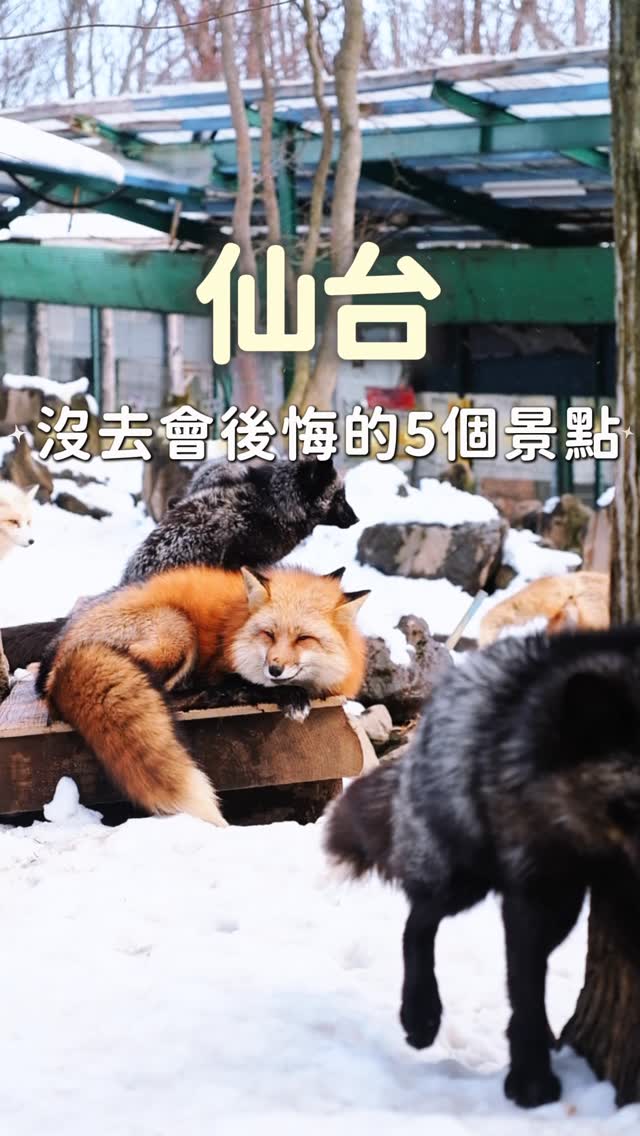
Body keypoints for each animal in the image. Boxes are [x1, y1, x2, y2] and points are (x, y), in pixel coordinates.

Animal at [37, 564, 368, 827]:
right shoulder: (223, 668)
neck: (237, 624)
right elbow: (250, 683)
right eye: (269, 634)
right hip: (178, 628)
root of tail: (58, 665)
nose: (275, 669)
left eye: (304, 639)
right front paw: (289, 696)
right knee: (169, 693)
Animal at [325, 625, 640, 1109]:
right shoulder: (535, 888)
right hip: (465, 876)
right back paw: (421, 1016)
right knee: (417, 923)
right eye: (635, 803)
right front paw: (532, 1080)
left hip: (562, 904)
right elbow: (526, 989)